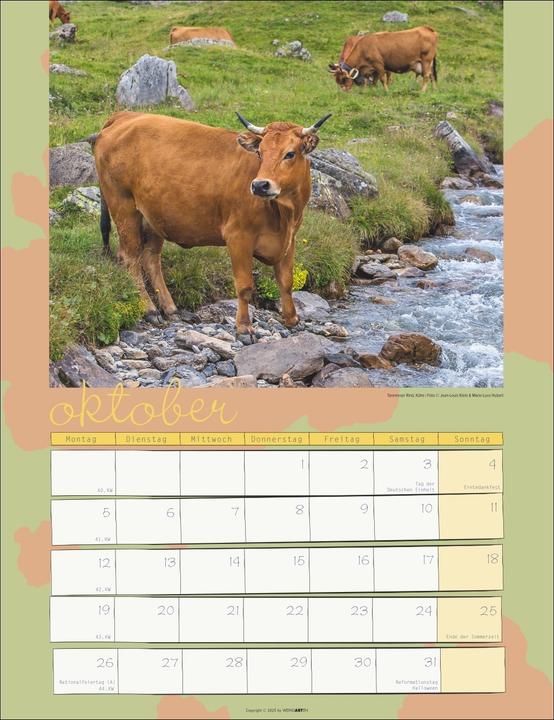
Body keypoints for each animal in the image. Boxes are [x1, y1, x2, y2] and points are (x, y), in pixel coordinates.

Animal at [93, 111, 332, 334]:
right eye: (260, 153)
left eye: (290, 153)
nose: (260, 185)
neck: (283, 215)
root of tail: (126, 115)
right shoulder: (238, 236)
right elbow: (244, 285)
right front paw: (244, 327)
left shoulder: (289, 239)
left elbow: (286, 281)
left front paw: (292, 319)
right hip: (123, 206)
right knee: (129, 257)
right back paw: (150, 309)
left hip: (152, 216)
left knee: (150, 258)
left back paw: (170, 308)